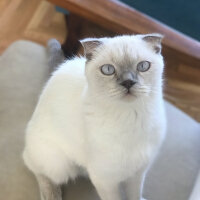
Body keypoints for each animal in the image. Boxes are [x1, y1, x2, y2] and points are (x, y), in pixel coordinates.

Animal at [22, 33, 166, 199]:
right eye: (108, 69)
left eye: (143, 66)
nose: (128, 82)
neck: (131, 116)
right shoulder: (105, 180)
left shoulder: (138, 172)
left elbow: (135, 195)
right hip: (60, 166)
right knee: (32, 164)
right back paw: (51, 194)